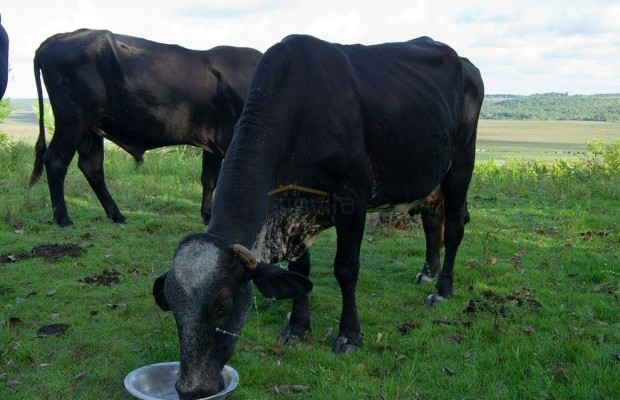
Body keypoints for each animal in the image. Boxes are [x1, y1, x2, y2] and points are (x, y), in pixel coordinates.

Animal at [28, 28, 262, 225]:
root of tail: (57, 38)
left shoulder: (213, 141)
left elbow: (209, 179)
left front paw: (207, 216)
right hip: (73, 121)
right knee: (56, 161)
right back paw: (63, 218)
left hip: (91, 127)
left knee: (91, 166)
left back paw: (117, 215)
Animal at [154, 35, 484, 400]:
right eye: (172, 306)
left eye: (222, 308)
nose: (191, 389)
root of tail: (465, 61)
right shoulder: (295, 216)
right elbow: (300, 271)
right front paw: (297, 328)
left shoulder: (353, 199)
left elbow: (346, 270)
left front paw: (349, 335)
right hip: (430, 178)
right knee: (432, 221)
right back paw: (427, 273)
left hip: (461, 163)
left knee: (454, 226)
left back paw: (442, 288)